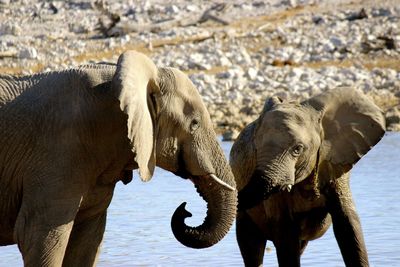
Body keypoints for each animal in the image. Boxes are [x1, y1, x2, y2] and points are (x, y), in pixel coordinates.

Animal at [230, 88, 386, 267]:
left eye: (297, 149)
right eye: (255, 147)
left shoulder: (333, 163)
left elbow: (348, 225)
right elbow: (285, 234)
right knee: (251, 246)